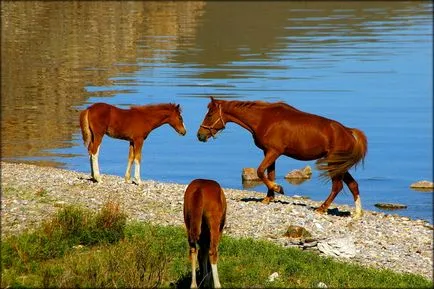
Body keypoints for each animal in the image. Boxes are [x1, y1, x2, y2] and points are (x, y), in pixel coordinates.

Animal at [198, 95, 368, 217]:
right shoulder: (268, 152)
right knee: (353, 185)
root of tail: (348, 131)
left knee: (337, 186)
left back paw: (322, 208)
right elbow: (270, 174)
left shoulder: (274, 152)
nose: (200, 135)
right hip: (340, 165)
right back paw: (357, 214)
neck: (264, 118)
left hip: (334, 164)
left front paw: (277, 188)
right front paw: (269, 197)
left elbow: (261, 171)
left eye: (210, 114)